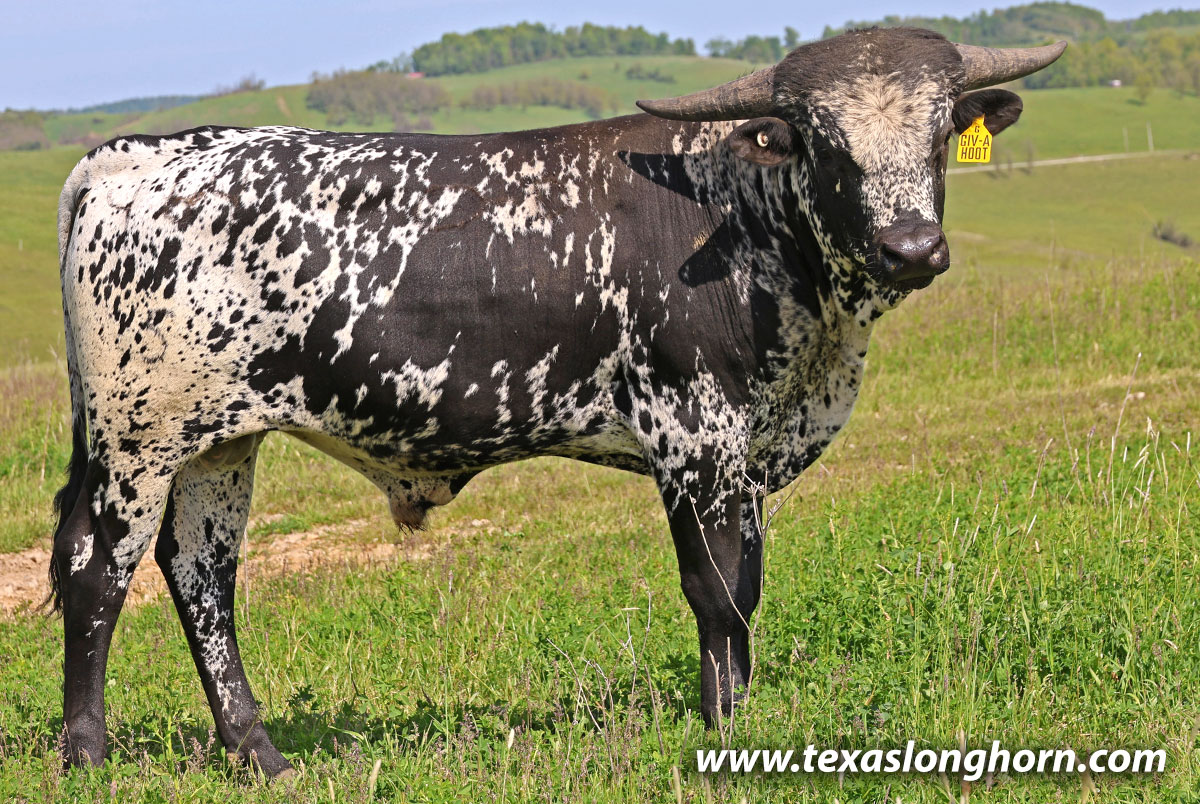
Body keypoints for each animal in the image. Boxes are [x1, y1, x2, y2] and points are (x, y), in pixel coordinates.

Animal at [49, 27, 1064, 777]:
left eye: (938, 135)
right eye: (825, 141)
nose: (911, 247)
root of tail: (131, 155)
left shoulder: (745, 457)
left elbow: (747, 592)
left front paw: (738, 717)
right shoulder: (691, 437)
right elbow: (714, 592)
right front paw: (721, 730)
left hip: (217, 441)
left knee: (201, 579)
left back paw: (260, 754)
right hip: (138, 437)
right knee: (101, 574)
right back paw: (87, 755)